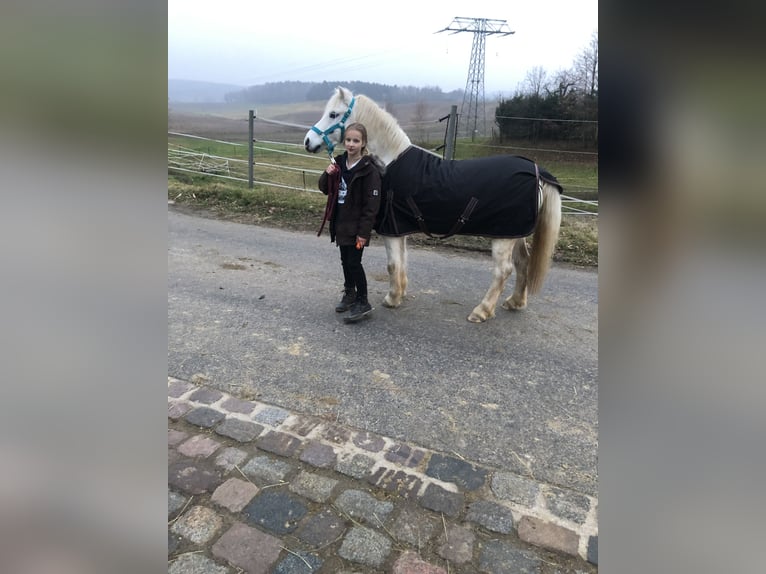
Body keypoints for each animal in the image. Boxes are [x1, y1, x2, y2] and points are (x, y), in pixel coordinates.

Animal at [306, 88, 564, 326]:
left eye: (333, 114)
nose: (309, 141)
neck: (391, 162)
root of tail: (536, 171)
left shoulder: (391, 229)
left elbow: (392, 264)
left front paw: (391, 299)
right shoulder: (400, 228)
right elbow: (402, 261)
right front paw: (399, 293)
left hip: (503, 238)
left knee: (504, 270)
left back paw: (481, 311)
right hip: (514, 233)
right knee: (523, 263)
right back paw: (515, 302)